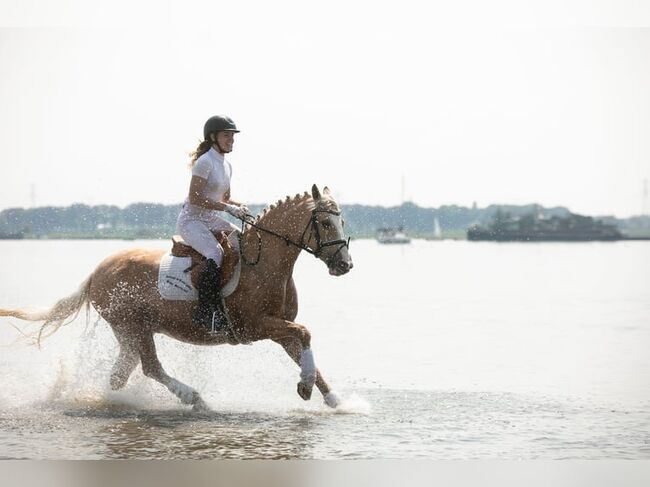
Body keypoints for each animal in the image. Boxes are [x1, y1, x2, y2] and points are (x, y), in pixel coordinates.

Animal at [0, 187, 352, 412]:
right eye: (324, 222)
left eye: (342, 221)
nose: (345, 265)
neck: (263, 262)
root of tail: (97, 272)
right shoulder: (256, 326)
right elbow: (305, 333)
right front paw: (305, 388)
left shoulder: (280, 327)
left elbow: (305, 348)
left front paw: (335, 400)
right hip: (134, 326)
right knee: (150, 368)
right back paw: (195, 398)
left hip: (131, 332)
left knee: (120, 374)